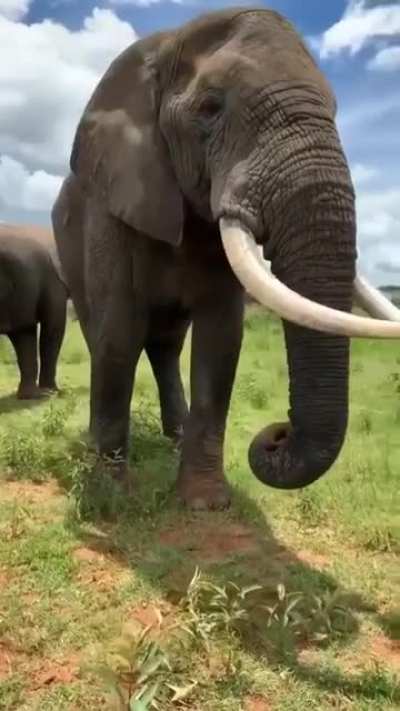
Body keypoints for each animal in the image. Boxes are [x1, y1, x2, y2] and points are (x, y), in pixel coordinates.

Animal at [52, 6, 400, 510]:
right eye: (209, 108)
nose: (276, 434)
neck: (161, 46)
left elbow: (221, 341)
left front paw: (204, 504)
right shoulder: (112, 203)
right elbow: (119, 330)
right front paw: (109, 499)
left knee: (166, 344)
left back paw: (175, 437)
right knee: (108, 335)